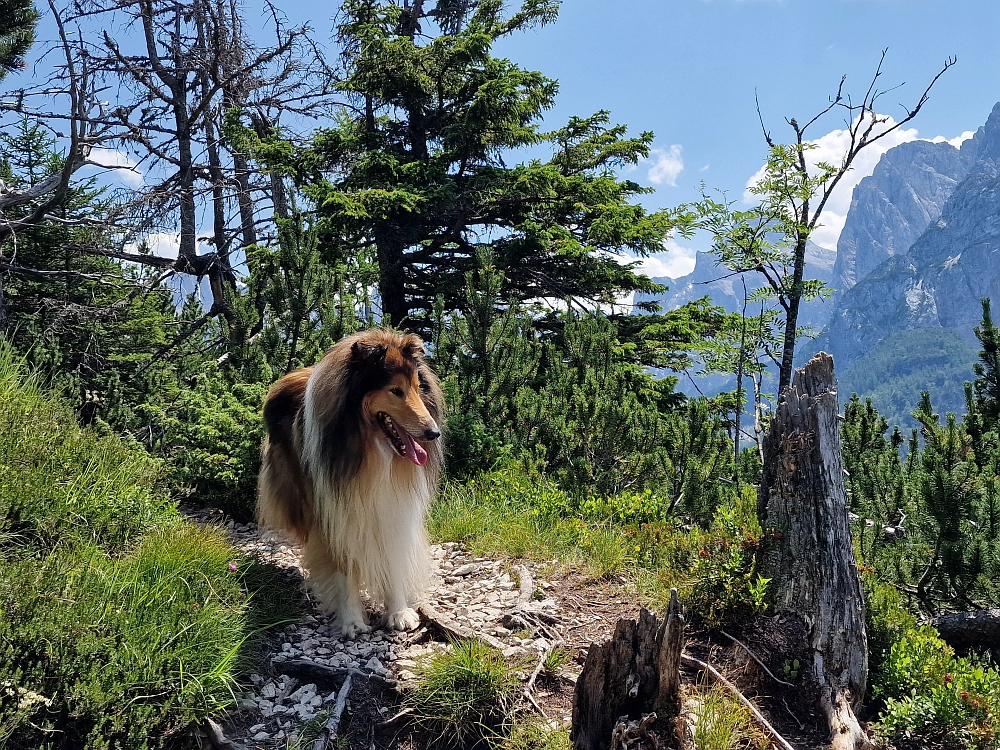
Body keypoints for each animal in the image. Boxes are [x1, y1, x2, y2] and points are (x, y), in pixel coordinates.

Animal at [258, 330, 446, 640]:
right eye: (395, 390)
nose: (433, 433)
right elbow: (343, 570)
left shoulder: (393, 508)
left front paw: (398, 612)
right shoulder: (333, 514)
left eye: (419, 387)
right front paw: (351, 621)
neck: (373, 450)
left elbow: (393, 559)